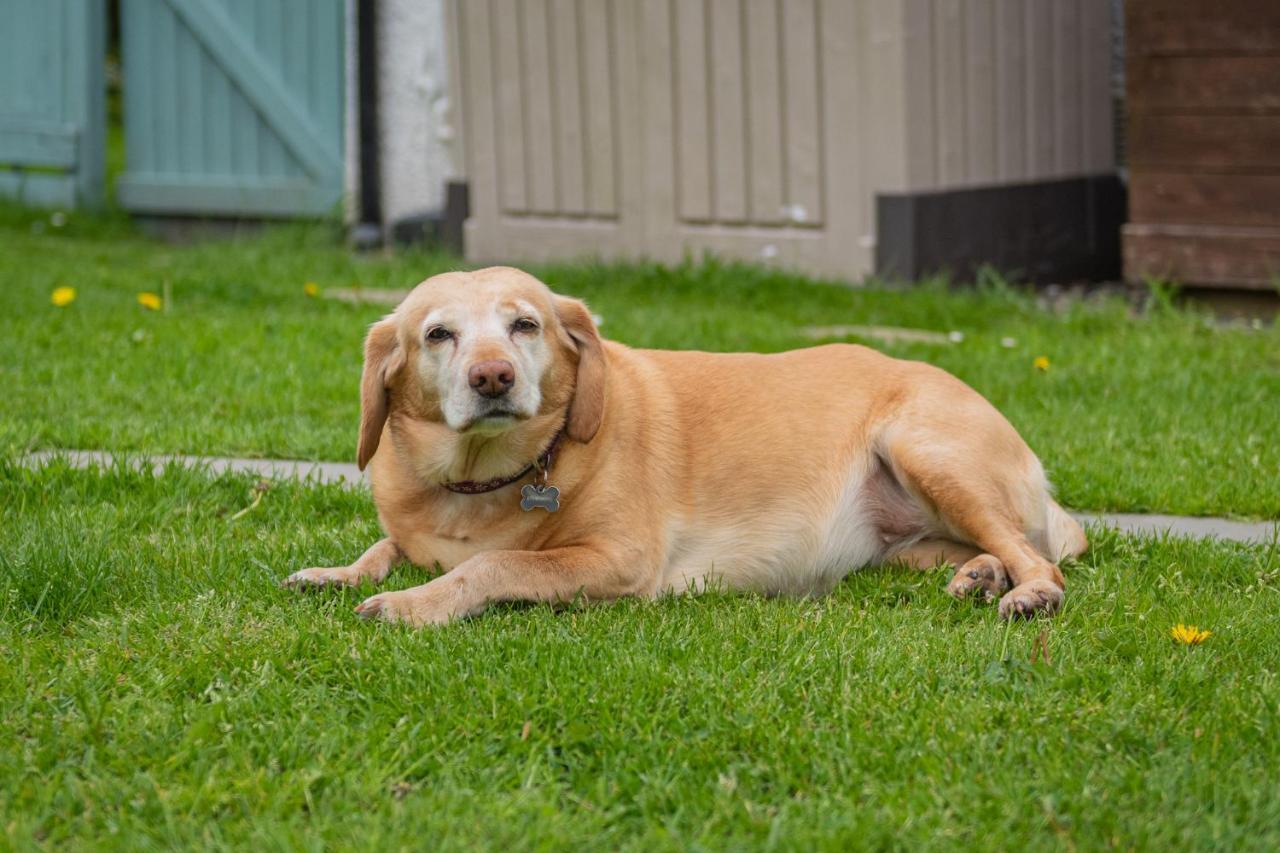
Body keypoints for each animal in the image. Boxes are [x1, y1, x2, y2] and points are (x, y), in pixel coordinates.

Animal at [285, 266, 1085, 625]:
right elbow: (384, 545)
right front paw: (337, 572)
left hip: (923, 446)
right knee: (992, 545)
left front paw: (412, 603)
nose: (492, 377)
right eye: (438, 334)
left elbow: (492, 564)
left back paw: (1029, 591)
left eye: (525, 325)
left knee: (1037, 554)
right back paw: (980, 575)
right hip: (895, 545)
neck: (482, 482)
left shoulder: (617, 561)